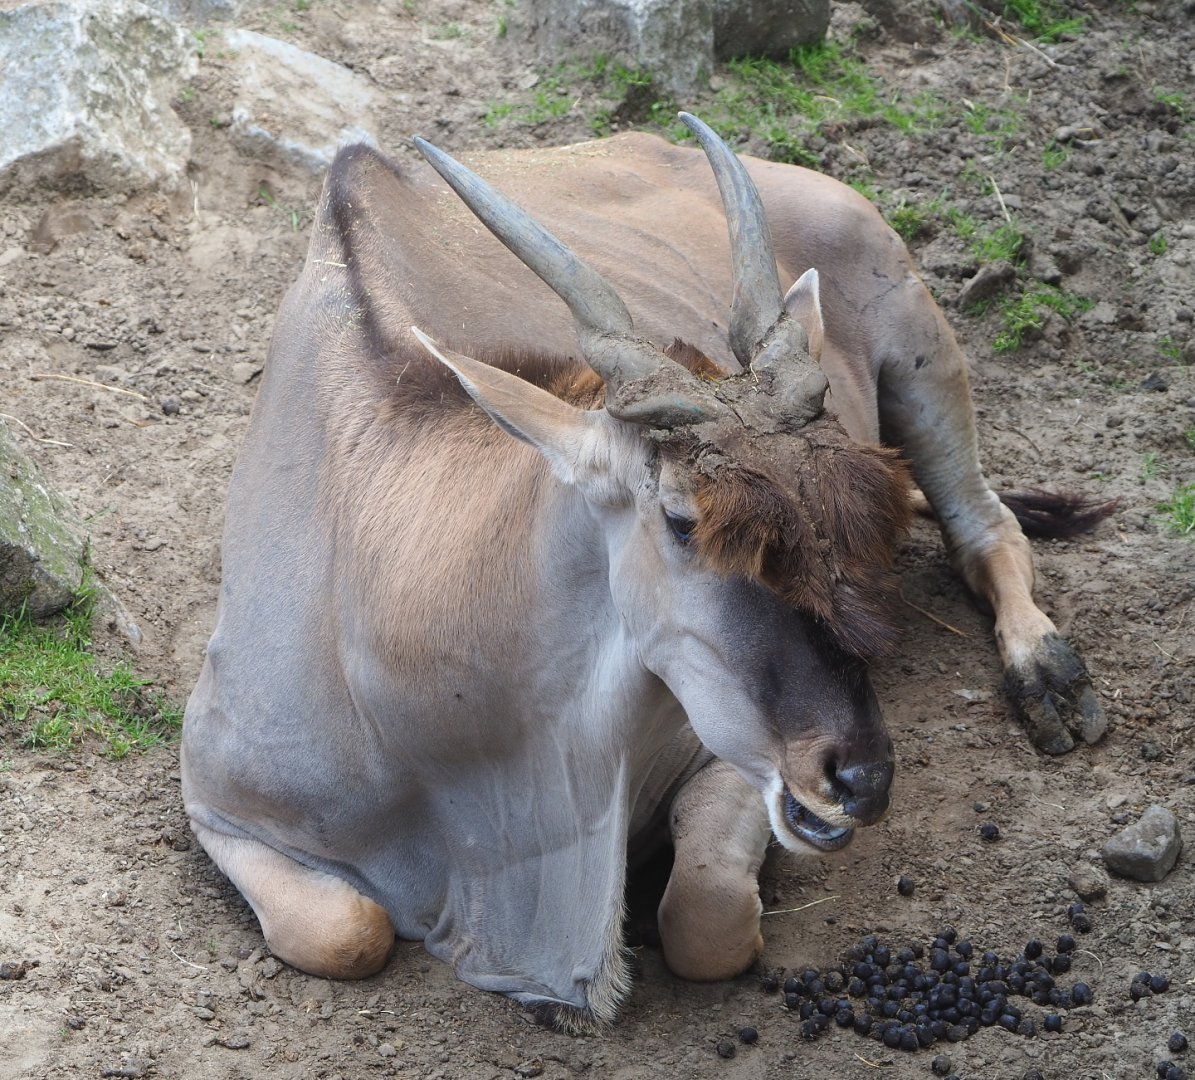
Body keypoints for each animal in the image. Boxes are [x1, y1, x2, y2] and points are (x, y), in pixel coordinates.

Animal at [181, 113, 1110, 1031]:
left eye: (837, 507)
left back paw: (1047, 676)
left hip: (922, 349)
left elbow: (704, 920)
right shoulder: (217, 807)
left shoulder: (728, 759)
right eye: (681, 520)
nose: (858, 779)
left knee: (984, 527)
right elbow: (347, 930)